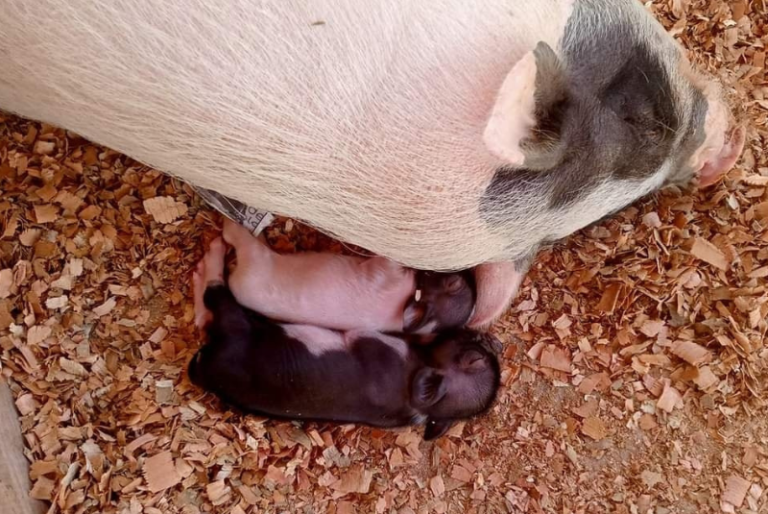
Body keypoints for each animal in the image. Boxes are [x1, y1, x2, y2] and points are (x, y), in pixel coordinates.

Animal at [188, 238, 501, 440]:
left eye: (451, 283)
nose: (467, 267)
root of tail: (208, 367)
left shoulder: (373, 340)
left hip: (241, 307)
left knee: (219, 287)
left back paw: (216, 248)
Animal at [218, 219, 475, 334]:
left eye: (454, 283)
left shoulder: (387, 273)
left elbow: (390, 260)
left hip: (254, 265)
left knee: (241, 240)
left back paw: (229, 225)